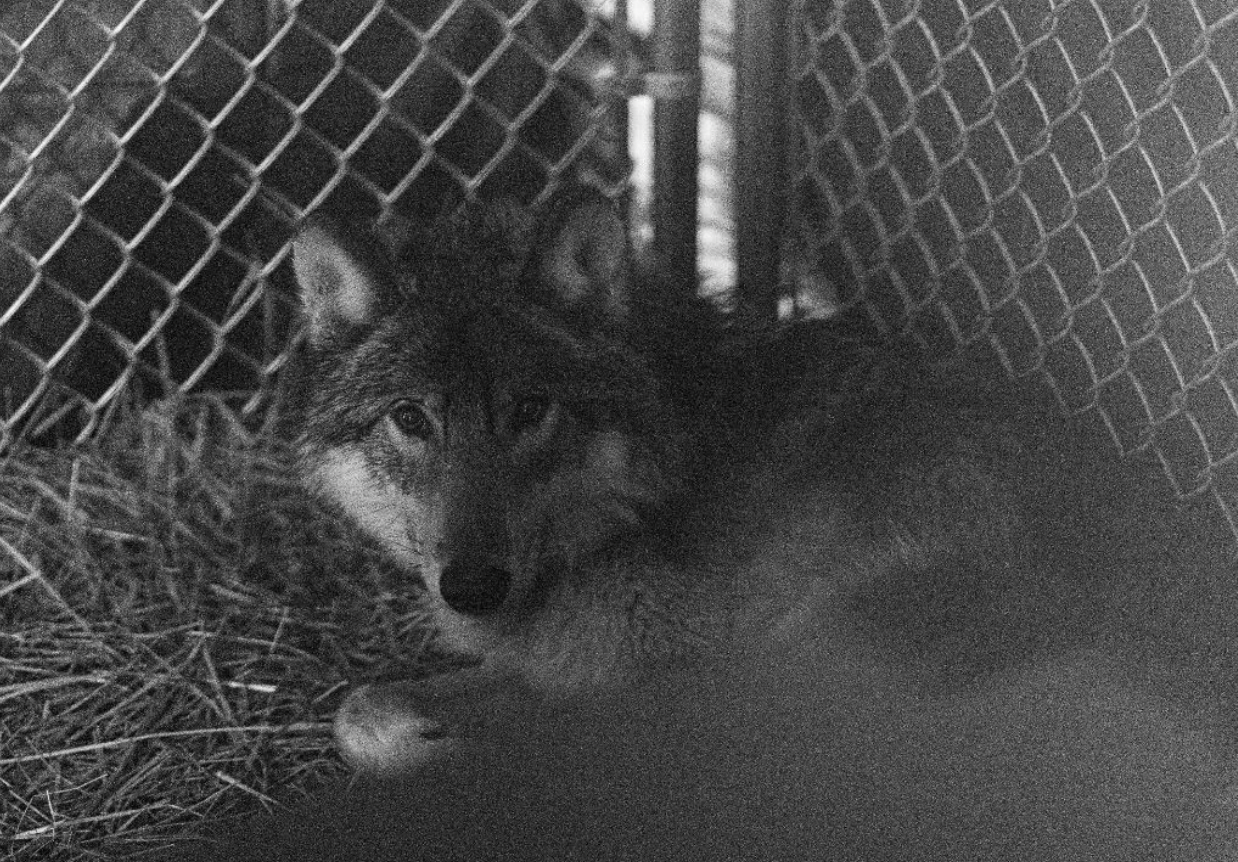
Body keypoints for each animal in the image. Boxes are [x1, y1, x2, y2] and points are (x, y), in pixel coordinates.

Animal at [269, 192, 1238, 855]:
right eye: (410, 419)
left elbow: (375, 711)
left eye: (531, 410)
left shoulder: (670, 671)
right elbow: (363, 704)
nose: (471, 585)